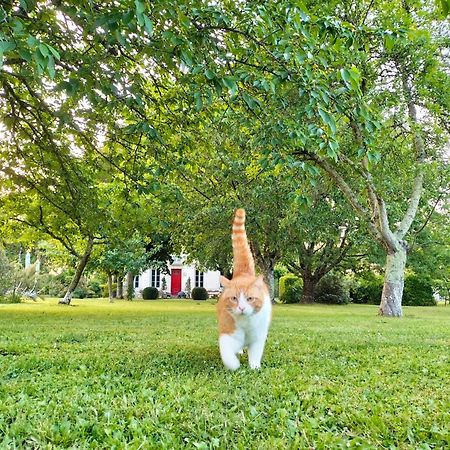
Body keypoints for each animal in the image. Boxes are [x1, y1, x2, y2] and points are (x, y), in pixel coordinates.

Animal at [217, 209, 272, 370]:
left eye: (250, 299)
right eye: (234, 298)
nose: (241, 307)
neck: (246, 324)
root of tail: (243, 274)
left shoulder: (258, 338)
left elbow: (255, 354)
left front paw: (254, 367)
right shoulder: (227, 335)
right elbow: (228, 355)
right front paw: (235, 365)